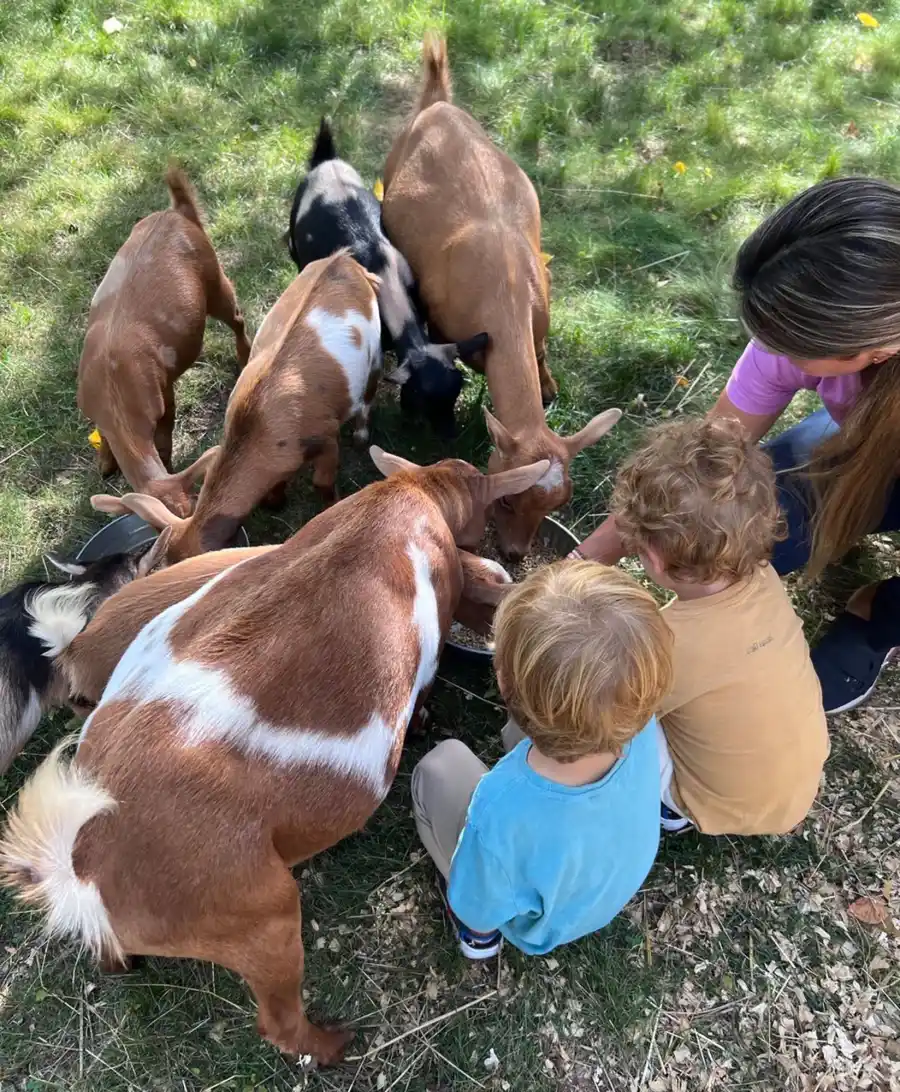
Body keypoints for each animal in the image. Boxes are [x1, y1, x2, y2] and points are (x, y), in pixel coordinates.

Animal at [78, 167, 252, 518]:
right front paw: (105, 465)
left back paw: (244, 357)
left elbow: (164, 436)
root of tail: (178, 211)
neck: (113, 396)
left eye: (191, 506)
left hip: (215, 279)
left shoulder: (161, 391)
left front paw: (167, 463)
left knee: (237, 316)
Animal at [89, 251, 382, 562]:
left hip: (374, 350)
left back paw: (362, 436)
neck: (261, 423)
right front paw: (276, 501)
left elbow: (322, 484)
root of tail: (344, 259)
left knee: (369, 392)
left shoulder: (326, 438)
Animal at [382, 35, 622, 557]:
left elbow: (542, 353)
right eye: (507, 501)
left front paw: (549, 387)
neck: (504, 290)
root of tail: (437, 101)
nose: (514, 553)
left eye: (558, 503)